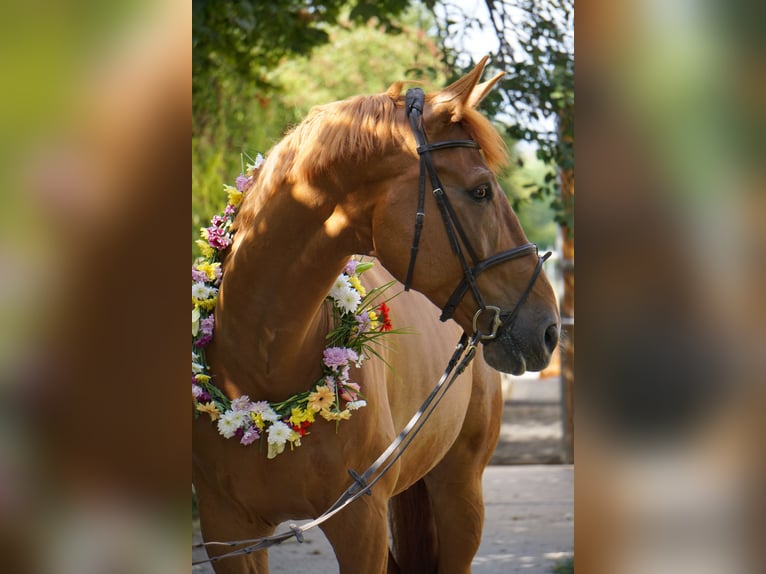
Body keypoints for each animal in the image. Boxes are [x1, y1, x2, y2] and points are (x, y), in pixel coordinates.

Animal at [195, 57, 560, 574]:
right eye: (482, 191)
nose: (548, 328)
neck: (262, 364)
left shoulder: (360, 524)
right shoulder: (228, 533)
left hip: (460, 494)